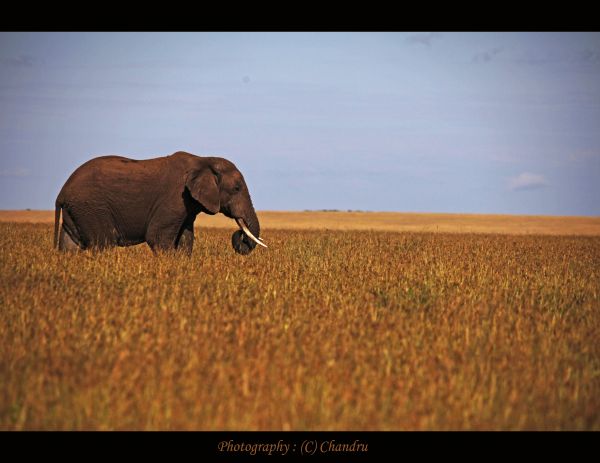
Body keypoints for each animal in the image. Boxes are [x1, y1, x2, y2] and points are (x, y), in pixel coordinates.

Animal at [52, 151, 266, 256]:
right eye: (237, 188)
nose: (241, 237)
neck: (203, 160)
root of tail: (61, 192)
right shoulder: (174, 198)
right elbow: (157, 237)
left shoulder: (187, 205)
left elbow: (185, 239)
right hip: (91, 207)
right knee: (103, 243)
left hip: (77, 210)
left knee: (70, 246)